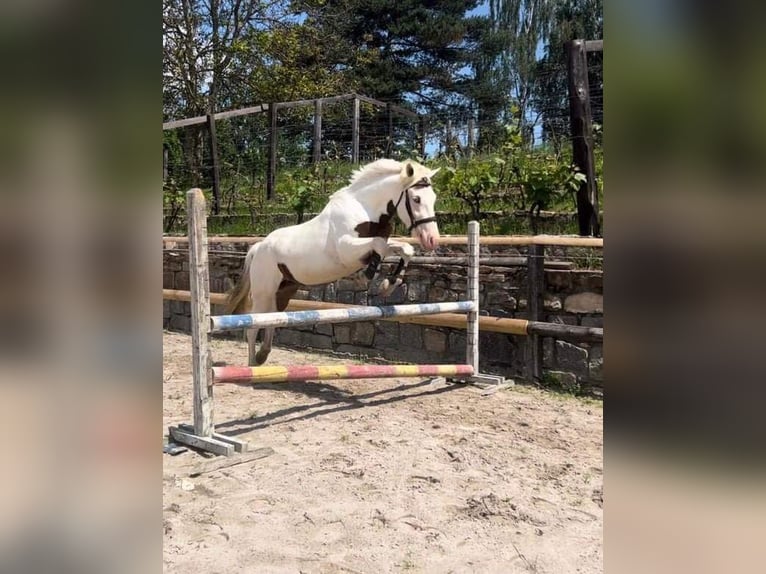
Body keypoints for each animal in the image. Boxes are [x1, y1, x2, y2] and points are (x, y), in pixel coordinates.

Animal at [226, 161, 444, 368]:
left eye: (433, 198)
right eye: (416, 199)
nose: (432, 240)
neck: (364, 208)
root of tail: (258, 247)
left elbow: (405, 249)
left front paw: (389, 284)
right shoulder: (347, 249)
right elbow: (379, 245)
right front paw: (366, 277)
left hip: (285, 289)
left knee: (272, 319)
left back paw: (262, 356)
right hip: (264, 292)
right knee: (253, 326)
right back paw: (252, 365)